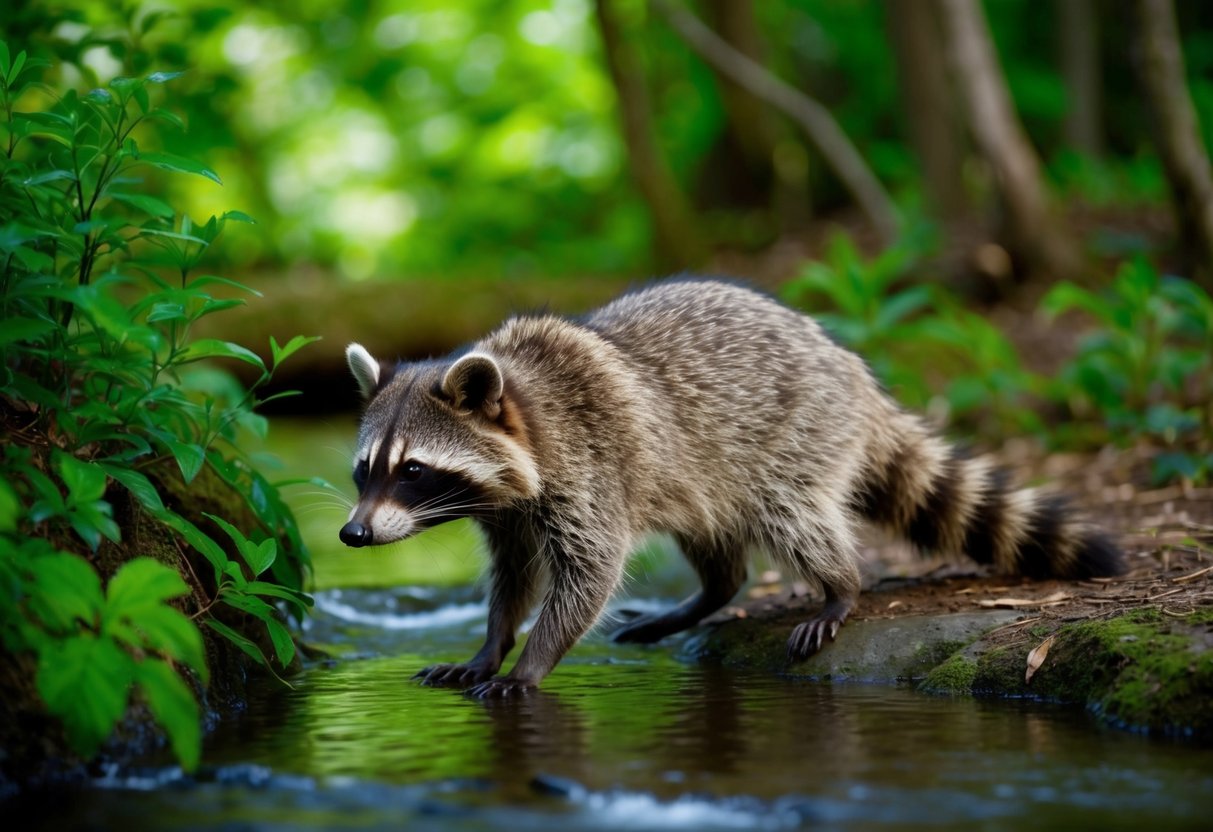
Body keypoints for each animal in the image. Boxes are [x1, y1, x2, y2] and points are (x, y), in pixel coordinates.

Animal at [341, 279, 1123, 698]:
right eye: (363, 469)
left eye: (413, 471)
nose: (352, 533)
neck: (527, 409)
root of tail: (852, 371)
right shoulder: (508, 511)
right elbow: (513, 577)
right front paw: (491, 644)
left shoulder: (592, 467)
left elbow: (589, 575)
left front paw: (533, 659)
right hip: (702, 480)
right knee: (717, 546)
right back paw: (708, 596)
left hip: (794, 433)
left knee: (795, 515)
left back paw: (840, 586)